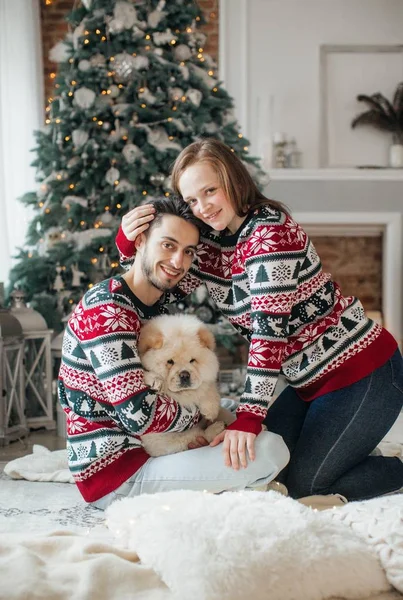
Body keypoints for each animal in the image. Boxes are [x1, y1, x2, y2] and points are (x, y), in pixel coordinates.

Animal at [139, 312, 235, 458]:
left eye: (192, 360)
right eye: (170, 361)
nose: (184, 375)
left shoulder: (205, 382)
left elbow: (206, 388)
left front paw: (210, 410)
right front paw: (155, 380)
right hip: (167, 441)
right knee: (198, 435)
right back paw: (217, 428)